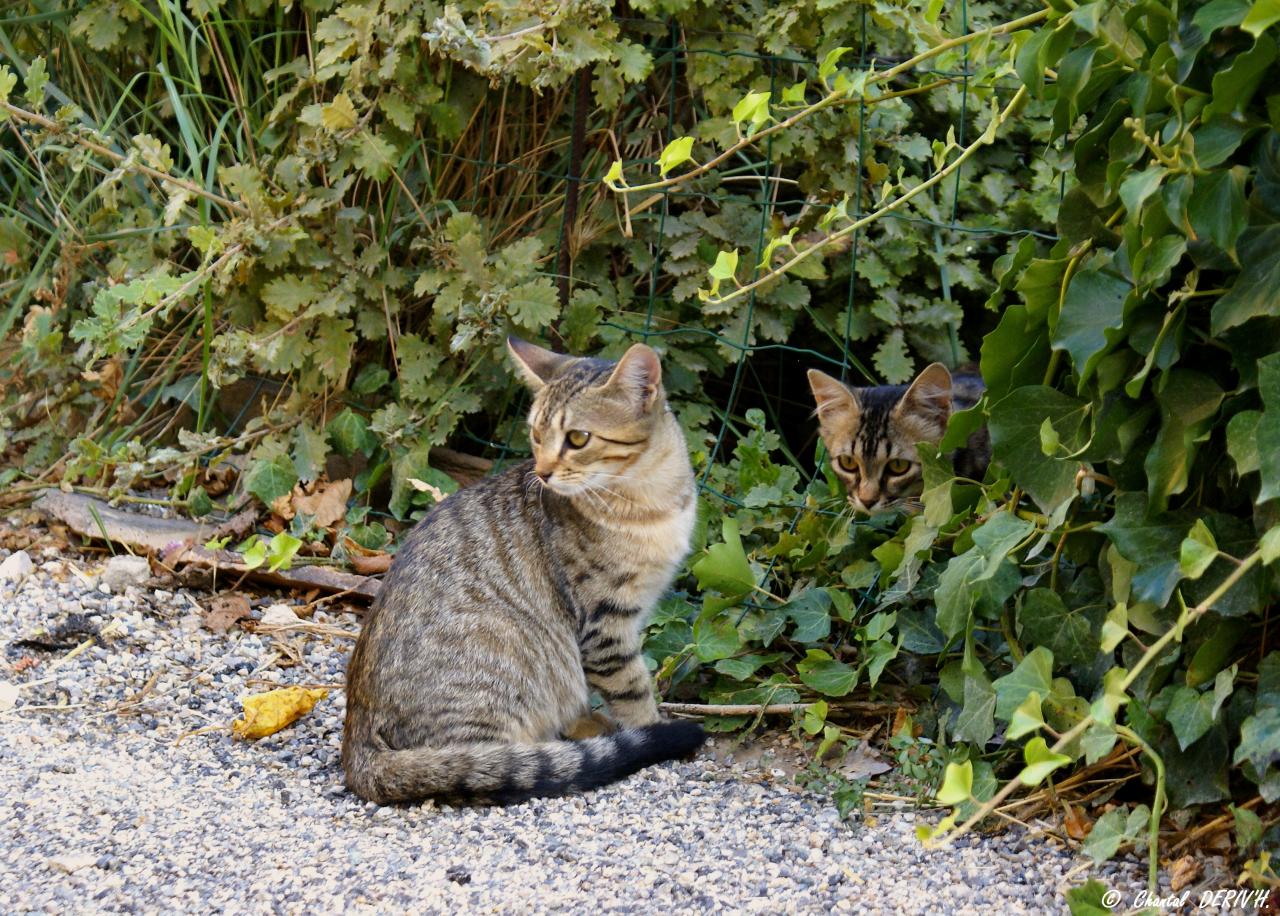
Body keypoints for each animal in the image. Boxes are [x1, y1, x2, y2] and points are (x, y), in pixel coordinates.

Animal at [345, 340, 706, 803]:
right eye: (536, 435)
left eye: (577, 438)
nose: (542, 472)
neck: (650, 496)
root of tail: (356, 740)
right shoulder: (604, 624)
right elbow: (632, 690)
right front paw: (652, 728)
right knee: (490, 769)